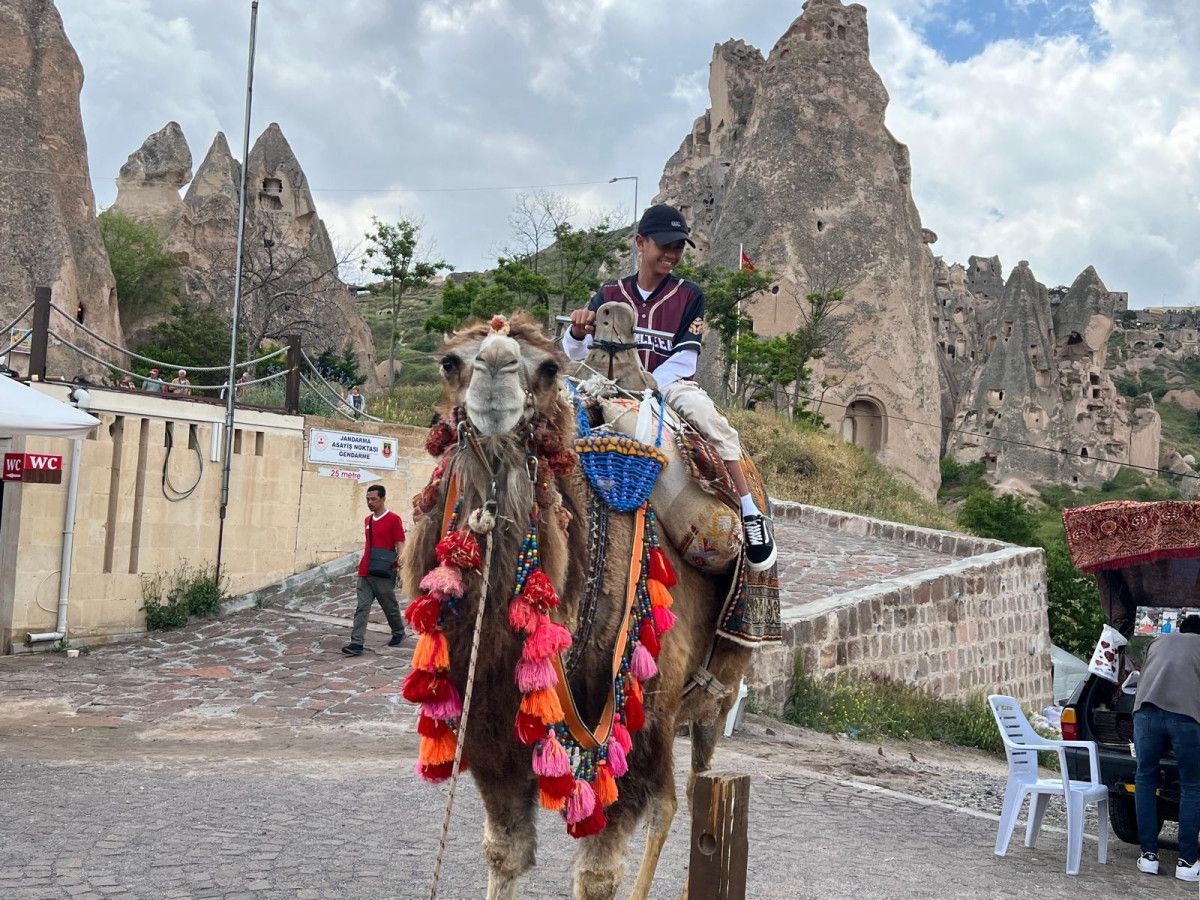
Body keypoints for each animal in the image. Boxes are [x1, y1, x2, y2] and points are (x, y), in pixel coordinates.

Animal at [402, 312, 753, 899]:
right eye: (450, 362)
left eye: (548, 368)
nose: (494, 371)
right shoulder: (493, 734)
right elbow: (505, 853)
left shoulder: (633, 727)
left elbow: (597, 876)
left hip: (711, 693)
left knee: (689, 793)